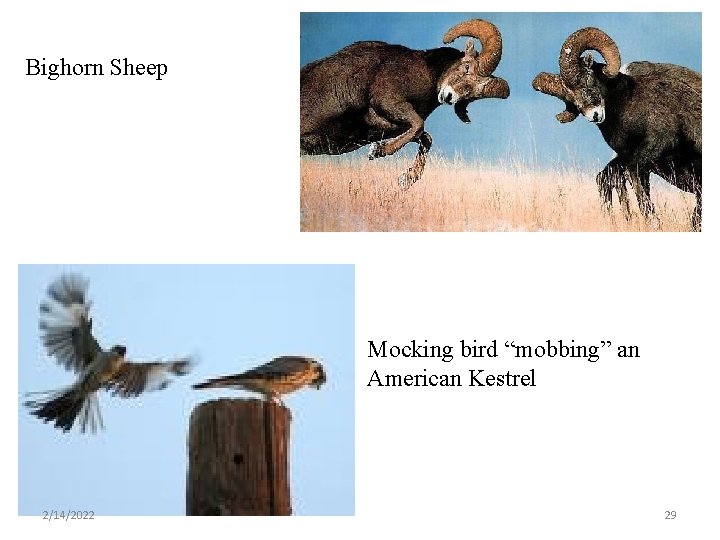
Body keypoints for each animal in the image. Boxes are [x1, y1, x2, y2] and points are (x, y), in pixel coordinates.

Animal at [301, 19, 509, 190]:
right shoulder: (387, 102)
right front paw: (377, 151)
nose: (449, 97)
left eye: (473, 93)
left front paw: (405, 180)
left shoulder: (390, 125)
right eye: (466, 67)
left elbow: (425, 137)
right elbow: (418, 125)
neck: (425, 71)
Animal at [532, 27, 702, 230]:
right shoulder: (626, 158)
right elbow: (607, 179)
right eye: (571, 99)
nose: (595, 115)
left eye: (587, 82)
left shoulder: (647, 155)